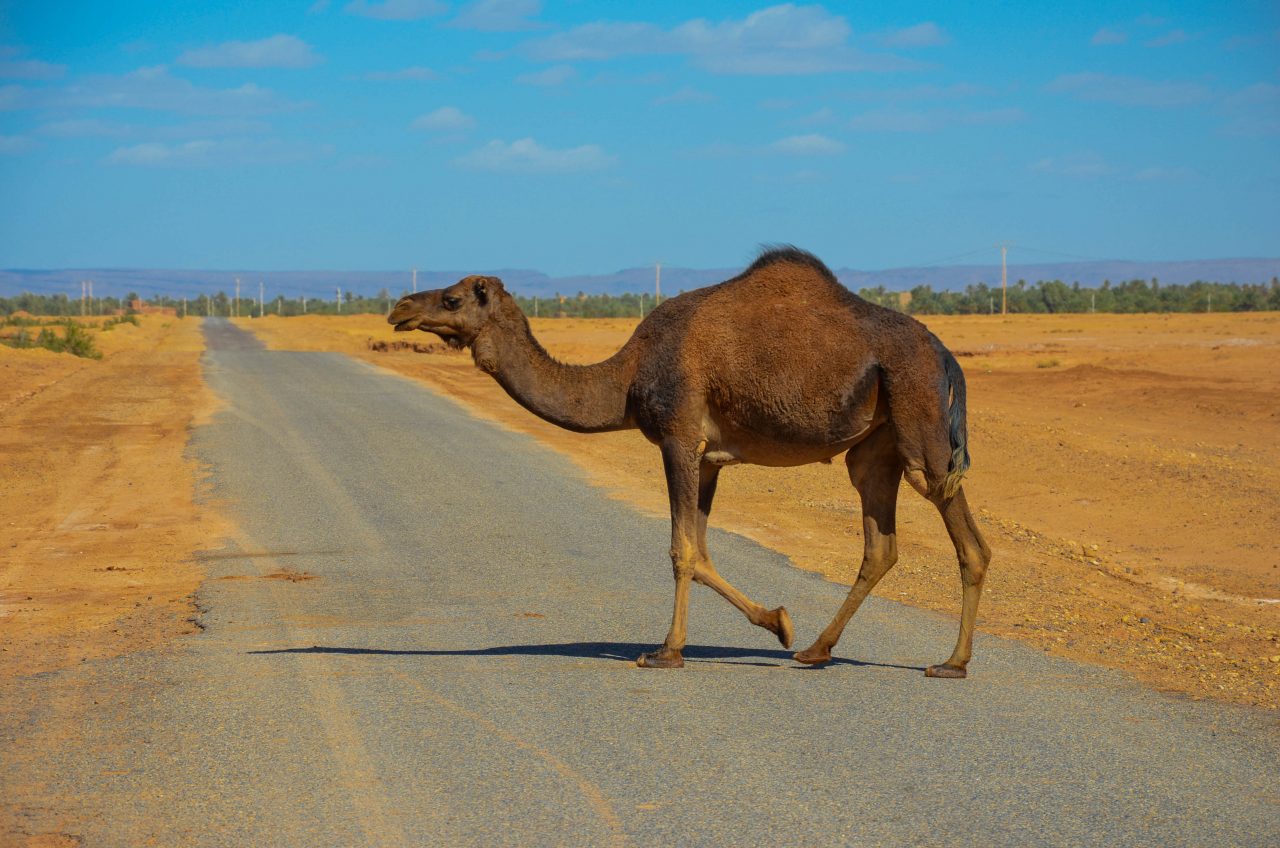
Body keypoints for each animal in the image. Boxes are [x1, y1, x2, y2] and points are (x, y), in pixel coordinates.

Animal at [388, 247, 991, 677]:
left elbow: (680, 549)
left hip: (919, 421)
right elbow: (700, 550)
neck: (627, 376)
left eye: (452, 299)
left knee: (964, 535)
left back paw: (950, 663)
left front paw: (666, 652)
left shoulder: (677, 434)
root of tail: (946, 354)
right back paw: (817, 650)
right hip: (878, 444)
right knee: (882, 542)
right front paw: (779, 623)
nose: (399, 308)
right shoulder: (709, 459)